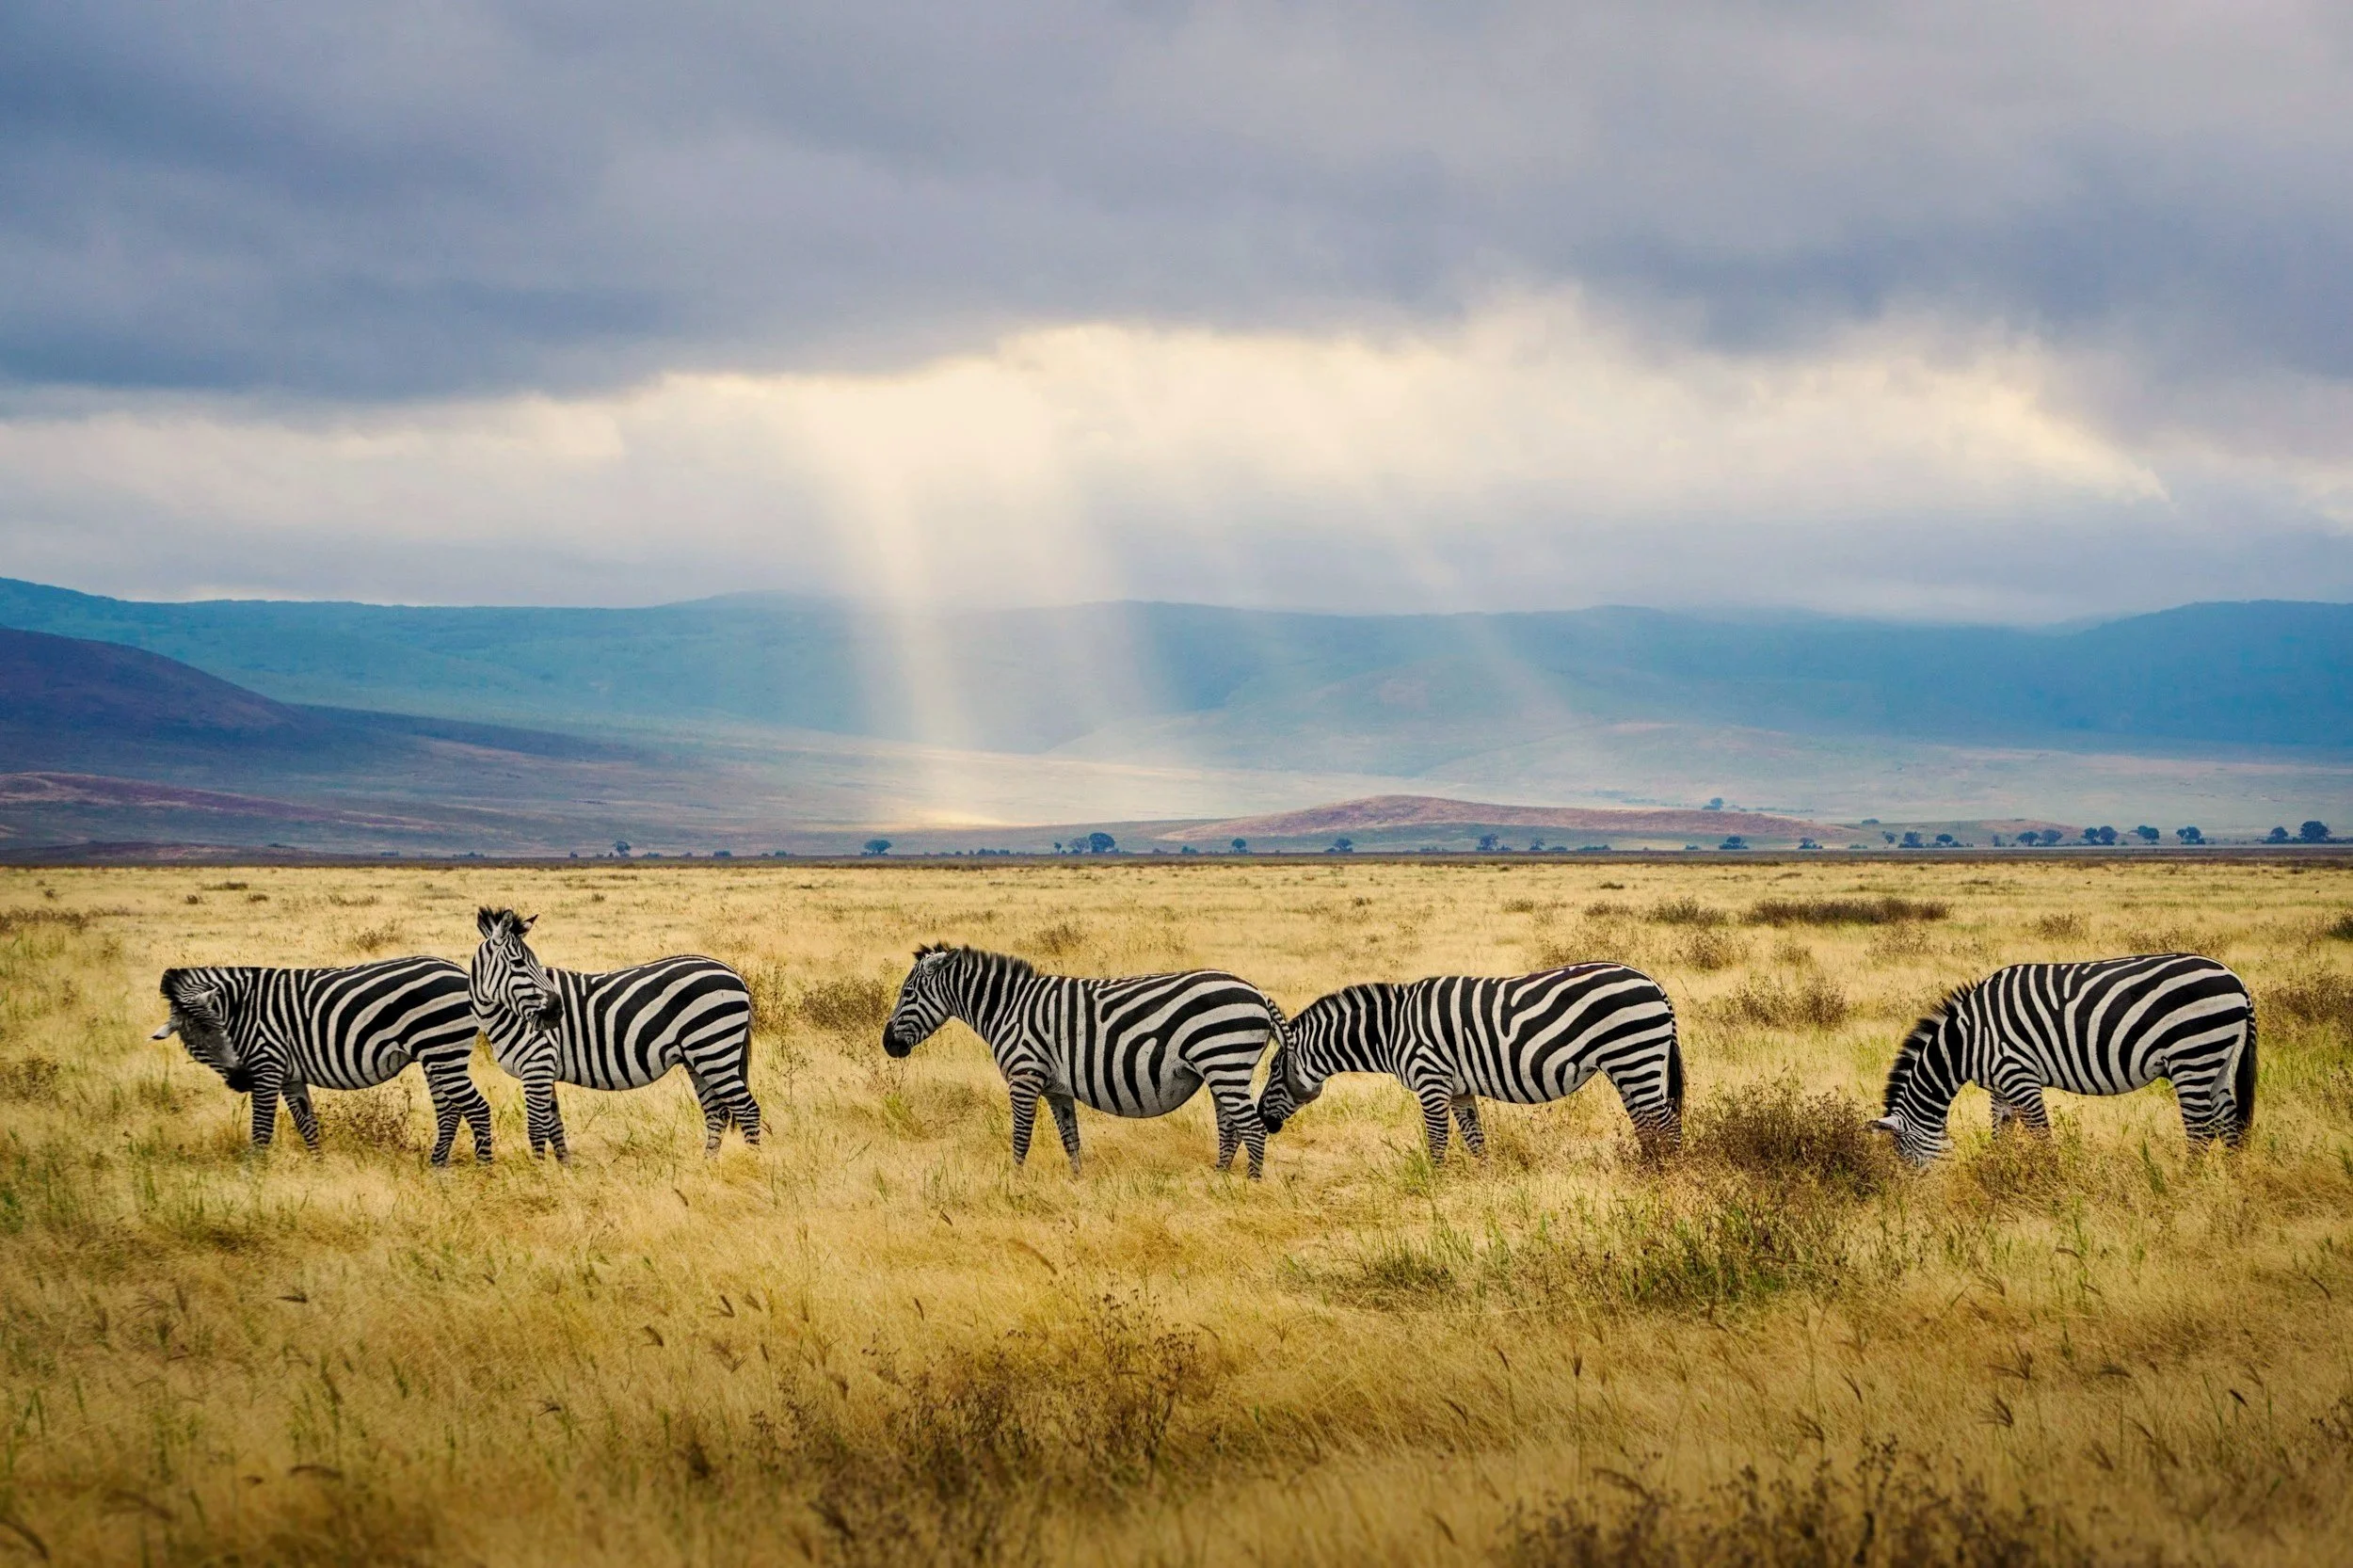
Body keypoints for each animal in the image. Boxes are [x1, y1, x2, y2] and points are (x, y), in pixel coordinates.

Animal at [152, 957, 492, 1164]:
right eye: (194, 1043)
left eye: (221, 1029)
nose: (240, 1079)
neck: (241, 1009)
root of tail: (459, 971)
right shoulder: (289, 1075)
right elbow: (307, 1123)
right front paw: (319, 1167)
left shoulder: (267, 1065)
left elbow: (261, 1130)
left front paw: (253, 1177)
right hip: (435, 1055)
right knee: (449, 1111)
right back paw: (438, 1167)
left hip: (442, 1050)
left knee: (477, 1108)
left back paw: (483, 1170)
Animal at [469, 907, 761, 1160]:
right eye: (518, 963)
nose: (556, 1010)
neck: (507, 1015)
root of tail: (733, 972)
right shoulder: (544, 1070)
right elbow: (555, 1127)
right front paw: (565, 1171)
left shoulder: (537, 1064)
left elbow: (537, 1128)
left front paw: (539, 1173)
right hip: (698, 1058)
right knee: (717, 1113)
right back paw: (707, 1166)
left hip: (714, 1050)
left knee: (747, 1110)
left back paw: (752, 1163)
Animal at [882, 944, 1286, 1177]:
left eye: (908, 992)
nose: (888, 1045)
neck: (1008, 1008)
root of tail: (1257, 993)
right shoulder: (1056, 1088)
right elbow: (1070, 1139)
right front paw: (1077, 1184)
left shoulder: (1025, 1076)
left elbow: (1021, 1137)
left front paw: (1014, 1184)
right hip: (1222, 1070)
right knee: (1230, 1127)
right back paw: (1218, 1179)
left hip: (1224, 1062)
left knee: (1252, 1128)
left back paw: (1250, 1186)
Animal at [1255, 964, 1684, 1161]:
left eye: (1274, 1070)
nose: (1262, 1119)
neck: (1391, 1031)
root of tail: (1653, 983)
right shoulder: (1459, 1090)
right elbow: (1476, 1141)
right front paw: (1482, 1185)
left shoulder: (1431, 1080)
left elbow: (1437, 1141)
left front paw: (1435, 1187)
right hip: (1630, 1066)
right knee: (1648, 1123)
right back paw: (1648, 1169)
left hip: (1634, 1057)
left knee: (1665, 1122)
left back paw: (1668, 1174)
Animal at [1872, 953, 2256, 1165]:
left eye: (1906, 1157)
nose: (1920, 1199)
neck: (1965, 1041)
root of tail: (2236, 979)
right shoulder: (1999, 1086)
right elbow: (2001, 1134)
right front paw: (1998, 1174)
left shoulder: (2019, 1075)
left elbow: (2041, 1136)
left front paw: (2051, 1183)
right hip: (2217, 1061)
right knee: (2229, 1125)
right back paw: (2232, 1190)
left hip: (2192, 1055)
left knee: (2201, 1131)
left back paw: (2184, 1188)